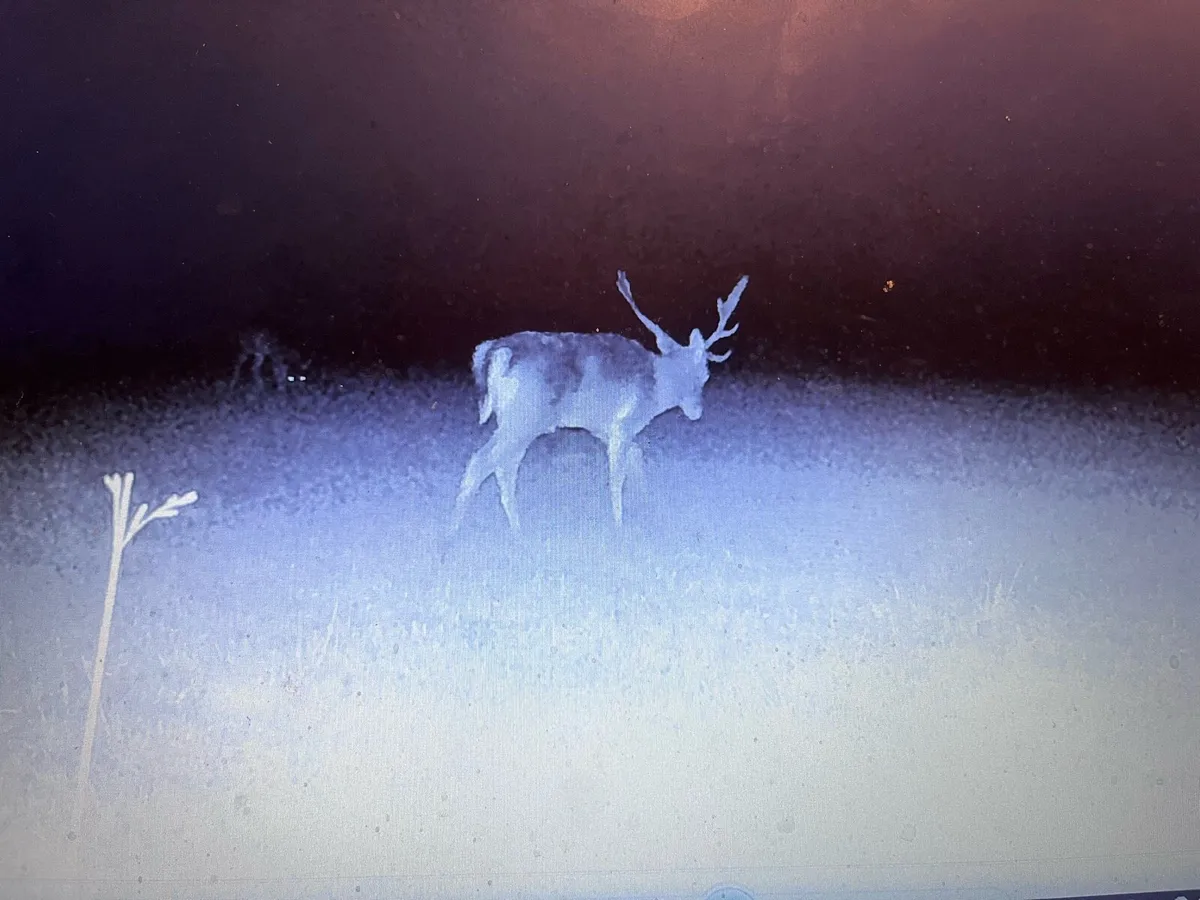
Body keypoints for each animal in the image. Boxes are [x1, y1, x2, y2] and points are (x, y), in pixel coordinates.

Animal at [450, 269, 748, 533]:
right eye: (705, 375)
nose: (697, 411)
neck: (657, 387)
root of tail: (494, 352)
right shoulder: (625, 423)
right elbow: (616, 475)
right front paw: (619, 525)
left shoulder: (603, 427)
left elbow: (636, 458)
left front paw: (649, 509)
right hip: (525, 417)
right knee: (481, 462)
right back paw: (455, 531)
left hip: (512, 419)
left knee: (503, 467)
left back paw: (516, 530)